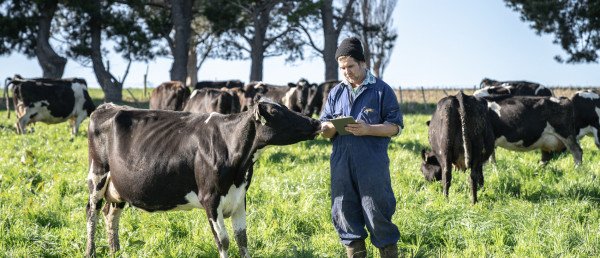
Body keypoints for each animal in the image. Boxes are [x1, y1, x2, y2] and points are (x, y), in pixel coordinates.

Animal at [84, 99, 322, 258]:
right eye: (275, 111)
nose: (316, 123)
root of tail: (107, 107)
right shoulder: (210, 198)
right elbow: (224, 241)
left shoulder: (240, 196)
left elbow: (242, 238)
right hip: (97, 174)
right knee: (92, 212)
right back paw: (90, 252)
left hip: (118, 187)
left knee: (110, 214)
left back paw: (115, 252)